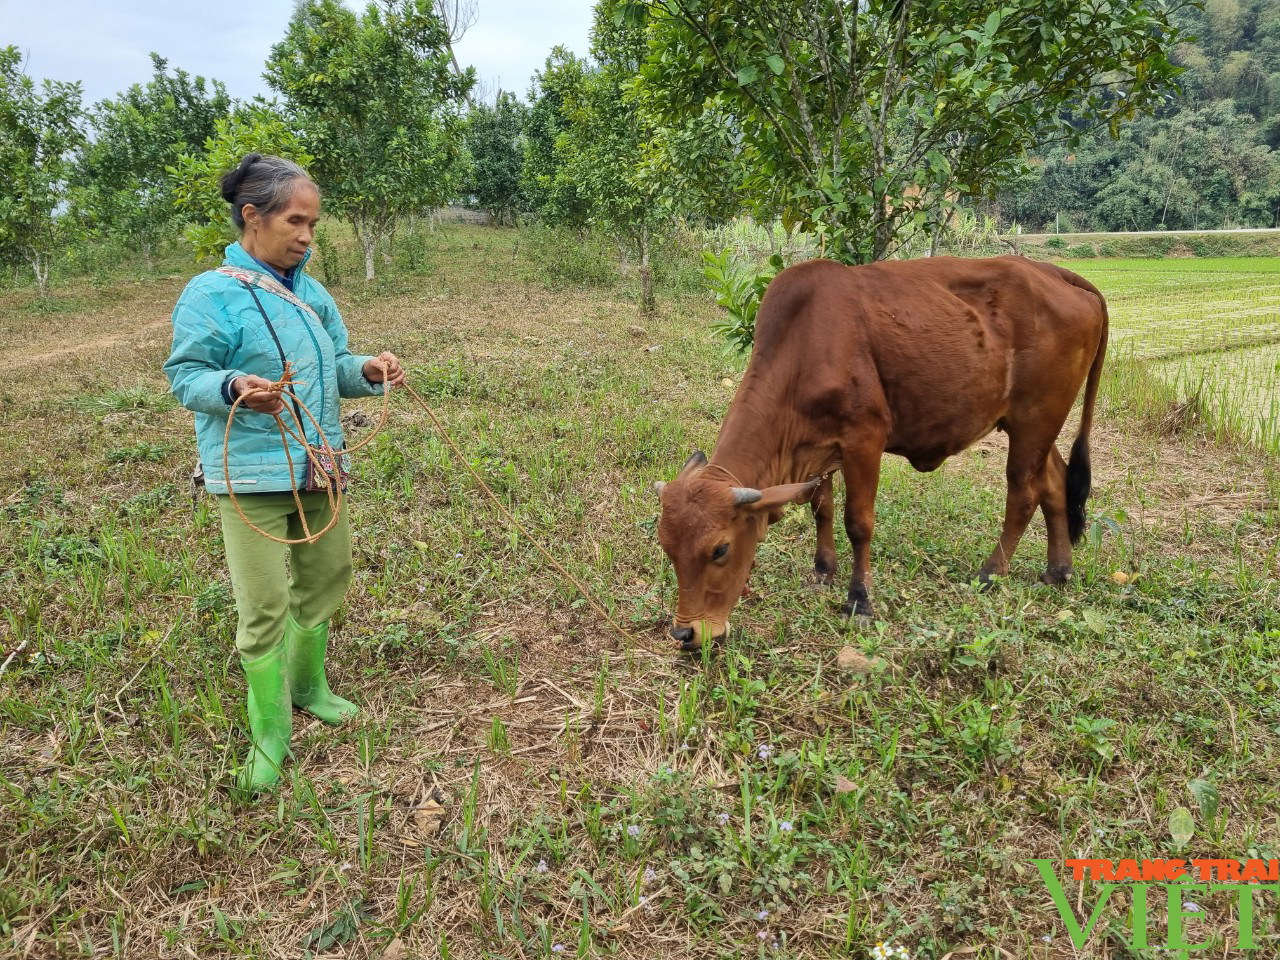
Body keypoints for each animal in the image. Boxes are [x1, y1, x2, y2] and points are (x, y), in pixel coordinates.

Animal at [655, 252, 1105, 650]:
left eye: (720, 549)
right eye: (666, 547)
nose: (686, 633)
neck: (803, 346)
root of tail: (1053, 272)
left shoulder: (864, 441)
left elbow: (858, 523)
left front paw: (860, 599)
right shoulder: (819, 449)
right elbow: (822, 508)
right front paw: (823, 570)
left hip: (1035, 421)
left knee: (1023, 494)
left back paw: (990, 574)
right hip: (1034, 425)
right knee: (1054, 484)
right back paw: (1058, 570)